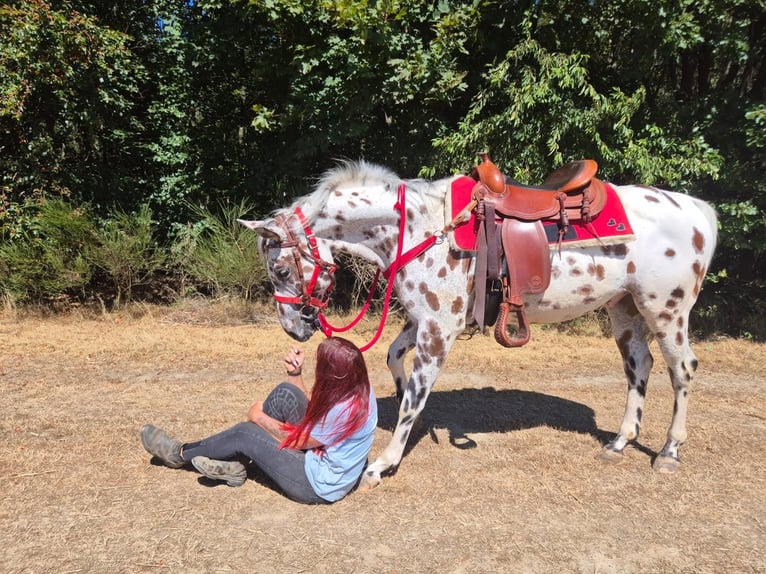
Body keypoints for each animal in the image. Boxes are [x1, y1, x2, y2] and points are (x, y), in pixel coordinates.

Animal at [239, 159, 718, 491]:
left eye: (279, 270)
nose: (294, 330)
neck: (420, 228)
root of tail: (699, 211)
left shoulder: (439, 328)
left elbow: (414, 398)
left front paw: (382, 463)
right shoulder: (425, 319)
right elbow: (395, 362)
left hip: (667, 310)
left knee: (682, 370)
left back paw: (669, 451)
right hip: (625, 309)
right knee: (639, 367)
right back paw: (620, 442)